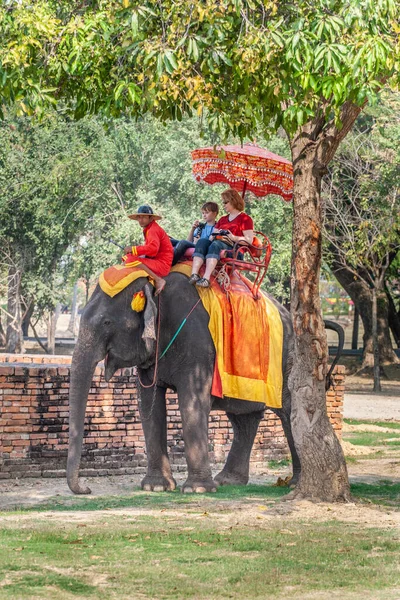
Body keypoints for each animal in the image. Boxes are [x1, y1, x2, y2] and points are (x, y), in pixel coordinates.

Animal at [66, 274, 344, 496]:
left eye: (106, 323)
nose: (86, 489)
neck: (156, 285)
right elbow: (149, 405)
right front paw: (155, 487)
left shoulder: (197, 343)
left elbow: (192, 401)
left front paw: (196, 490)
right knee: (243, 418)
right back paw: (229, 482)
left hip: (289, 361)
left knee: (287, 412)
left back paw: (295, 484)